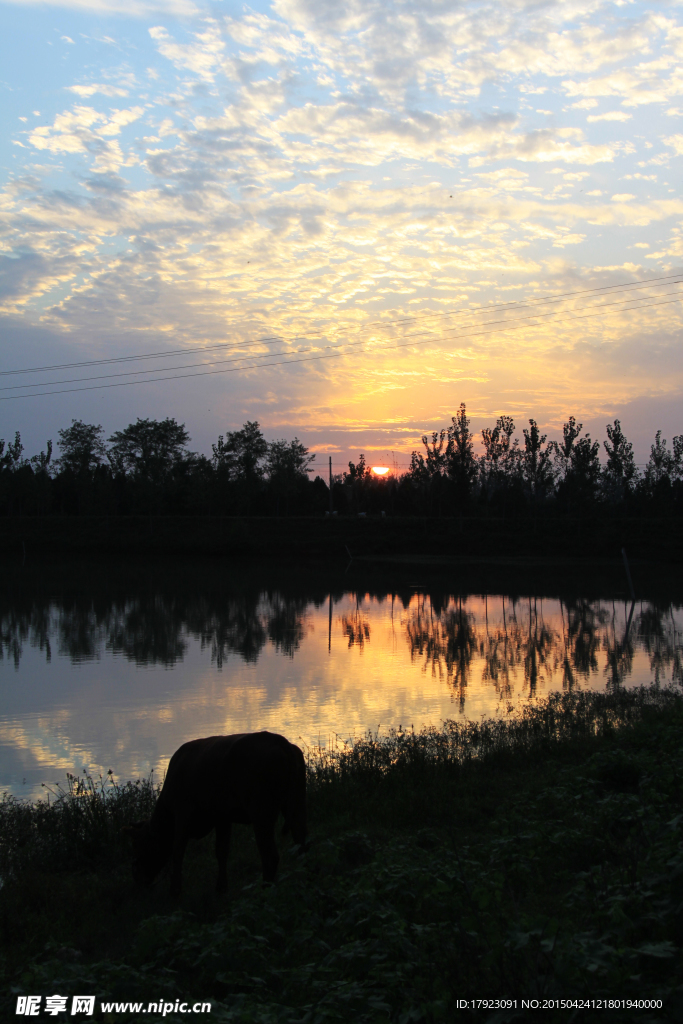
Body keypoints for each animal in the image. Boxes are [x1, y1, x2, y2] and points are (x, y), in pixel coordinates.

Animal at [124, 729, 309, 897]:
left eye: (138, 844)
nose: (136, 877)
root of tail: (280, 741)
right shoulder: (222, 818)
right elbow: (221, 851)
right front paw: (221, 887)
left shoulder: (183, 814)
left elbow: (178, 852)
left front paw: (175, 891)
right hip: (296, 805)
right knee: (301, 841)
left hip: (262, 814)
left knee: (270, 856)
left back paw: (264, 890)